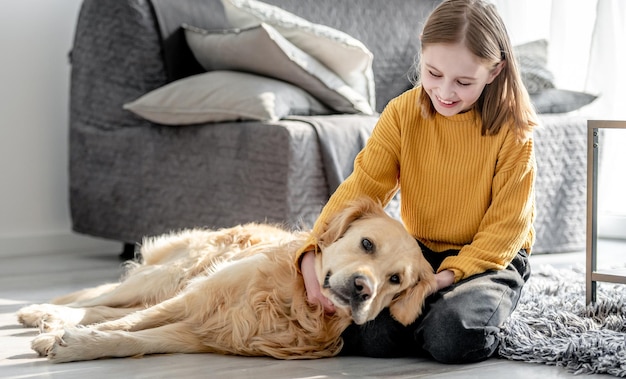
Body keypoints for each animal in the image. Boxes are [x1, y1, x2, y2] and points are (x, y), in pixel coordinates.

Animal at [15, 197, 434, 364]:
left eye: (395, 280)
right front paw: (59, 339)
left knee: (104, 307)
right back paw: (38, 312)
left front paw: (78, 344)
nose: (364, 289)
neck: (293, 300)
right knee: (95, 301)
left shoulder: (201, 333)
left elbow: (129, 337)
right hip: (173, 274)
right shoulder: (195, 298)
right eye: (367, 243)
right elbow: (129, 323)